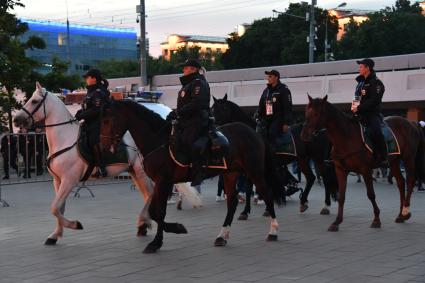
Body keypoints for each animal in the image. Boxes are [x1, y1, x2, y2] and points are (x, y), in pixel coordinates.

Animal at [12, 82, 199, 246]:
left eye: (34, 101)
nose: (16, 120)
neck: (65, 139)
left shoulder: (69, 180)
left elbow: (54, 207)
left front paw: (75, 225)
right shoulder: (57, 181)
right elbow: (59, 208)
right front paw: (55, 235)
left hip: (141, 172)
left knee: (151, 194)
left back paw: (143, 223)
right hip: (134, 171)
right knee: (148, 195)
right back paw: (143, 225)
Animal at [99, 101, 284, 255]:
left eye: (108, 120)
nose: (103, 147)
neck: (158, 141)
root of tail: (253, 132)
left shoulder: (164, 181)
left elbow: (160, 212)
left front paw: (158, 241)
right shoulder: (160, 183)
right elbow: (154, 211)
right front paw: (173, 229)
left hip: (254, 171)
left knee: (267, 194)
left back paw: (273, 231)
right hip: (230, 174)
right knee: (231, 203)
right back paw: (222, 236)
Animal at [300, 96, 422, 232]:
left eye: (316, 113)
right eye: (306, 113)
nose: (304, 135)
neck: (346, 136)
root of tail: (411, 123)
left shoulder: (365, 170)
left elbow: (371, 195)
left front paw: (376, 219)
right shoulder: (340, 170)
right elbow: (342, 196)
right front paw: (337, 222)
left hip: (408, 158)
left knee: (410, 180)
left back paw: (406, 211)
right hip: (394, 161)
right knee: (401, 183)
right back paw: (400, 215)